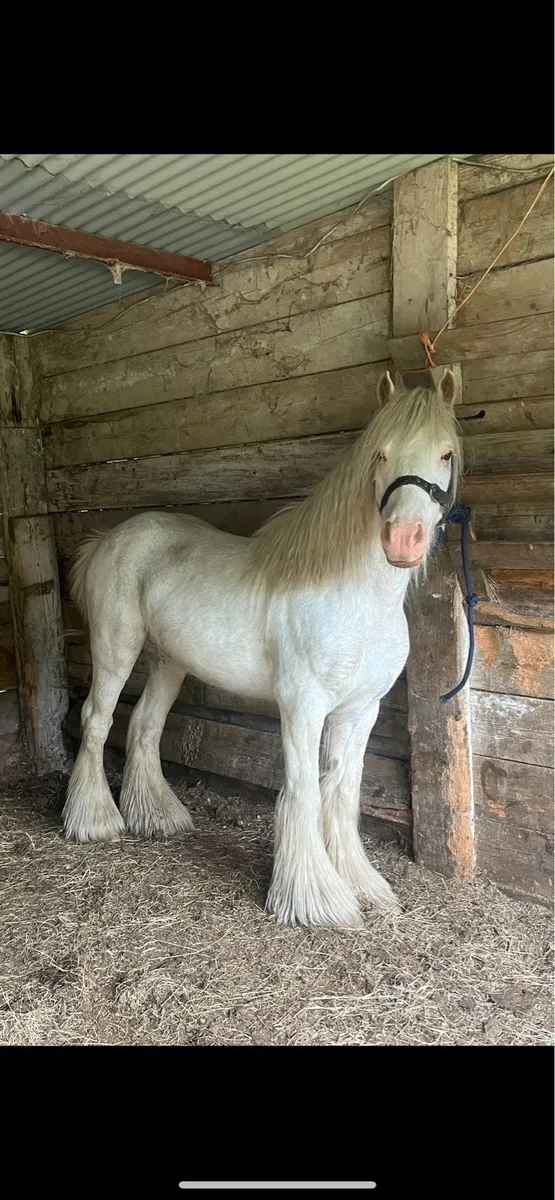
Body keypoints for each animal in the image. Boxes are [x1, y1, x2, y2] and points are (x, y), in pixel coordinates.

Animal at [63, 368, 461, 929]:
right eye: (380, 454)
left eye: (445, 453)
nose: (402, 540)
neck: (355, 597)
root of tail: (108, 538)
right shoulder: (302, 706)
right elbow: (304, 790)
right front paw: (316, 900)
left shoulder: (361, 710)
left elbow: (342, 792)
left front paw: (362, 885)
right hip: (116, 646)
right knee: (97, 720)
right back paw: (94, 821)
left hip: (168, 661)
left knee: (144, 726)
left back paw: (158, 818)